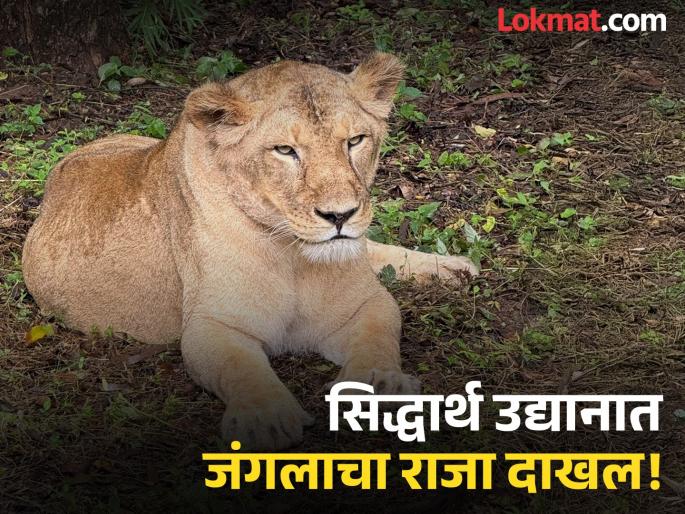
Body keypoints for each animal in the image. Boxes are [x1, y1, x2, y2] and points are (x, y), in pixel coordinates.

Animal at [22, 53, 477, 449]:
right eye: (285, 150)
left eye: (355, 141)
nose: (340, 215)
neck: (294, 255)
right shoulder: (211, 323)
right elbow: (240, 368)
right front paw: (266, 417)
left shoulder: (365, 303)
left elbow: (378, 337)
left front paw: (380, 385)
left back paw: (453, 268)